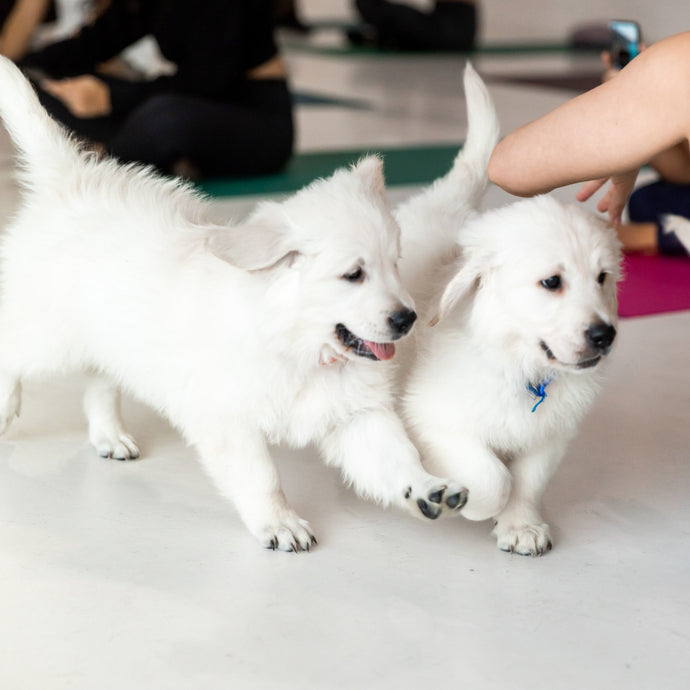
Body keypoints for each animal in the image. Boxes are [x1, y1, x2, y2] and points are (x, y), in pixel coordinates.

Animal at [0, 55, 468, 548]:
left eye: (395, 264)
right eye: (353, 275)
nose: (407, 319)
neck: (299, 347)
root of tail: (72, 181)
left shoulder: (355, 413)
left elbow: (394, 457)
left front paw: (428, 488)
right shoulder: (228, 417)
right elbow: (262, 476)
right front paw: (279, 522)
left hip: (111, 337)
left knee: (100, 381)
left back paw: (109, 436)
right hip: (50, 335)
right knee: (14, 351)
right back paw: (8, 408)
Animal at [392, 64, 620, 552]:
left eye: (602, 278)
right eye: (551, 282)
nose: (604, 335)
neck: (523, 369)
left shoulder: (549, 435)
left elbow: (527, 481)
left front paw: (522, 526)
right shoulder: (432, 417)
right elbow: (493, 477)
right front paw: (473, 506)